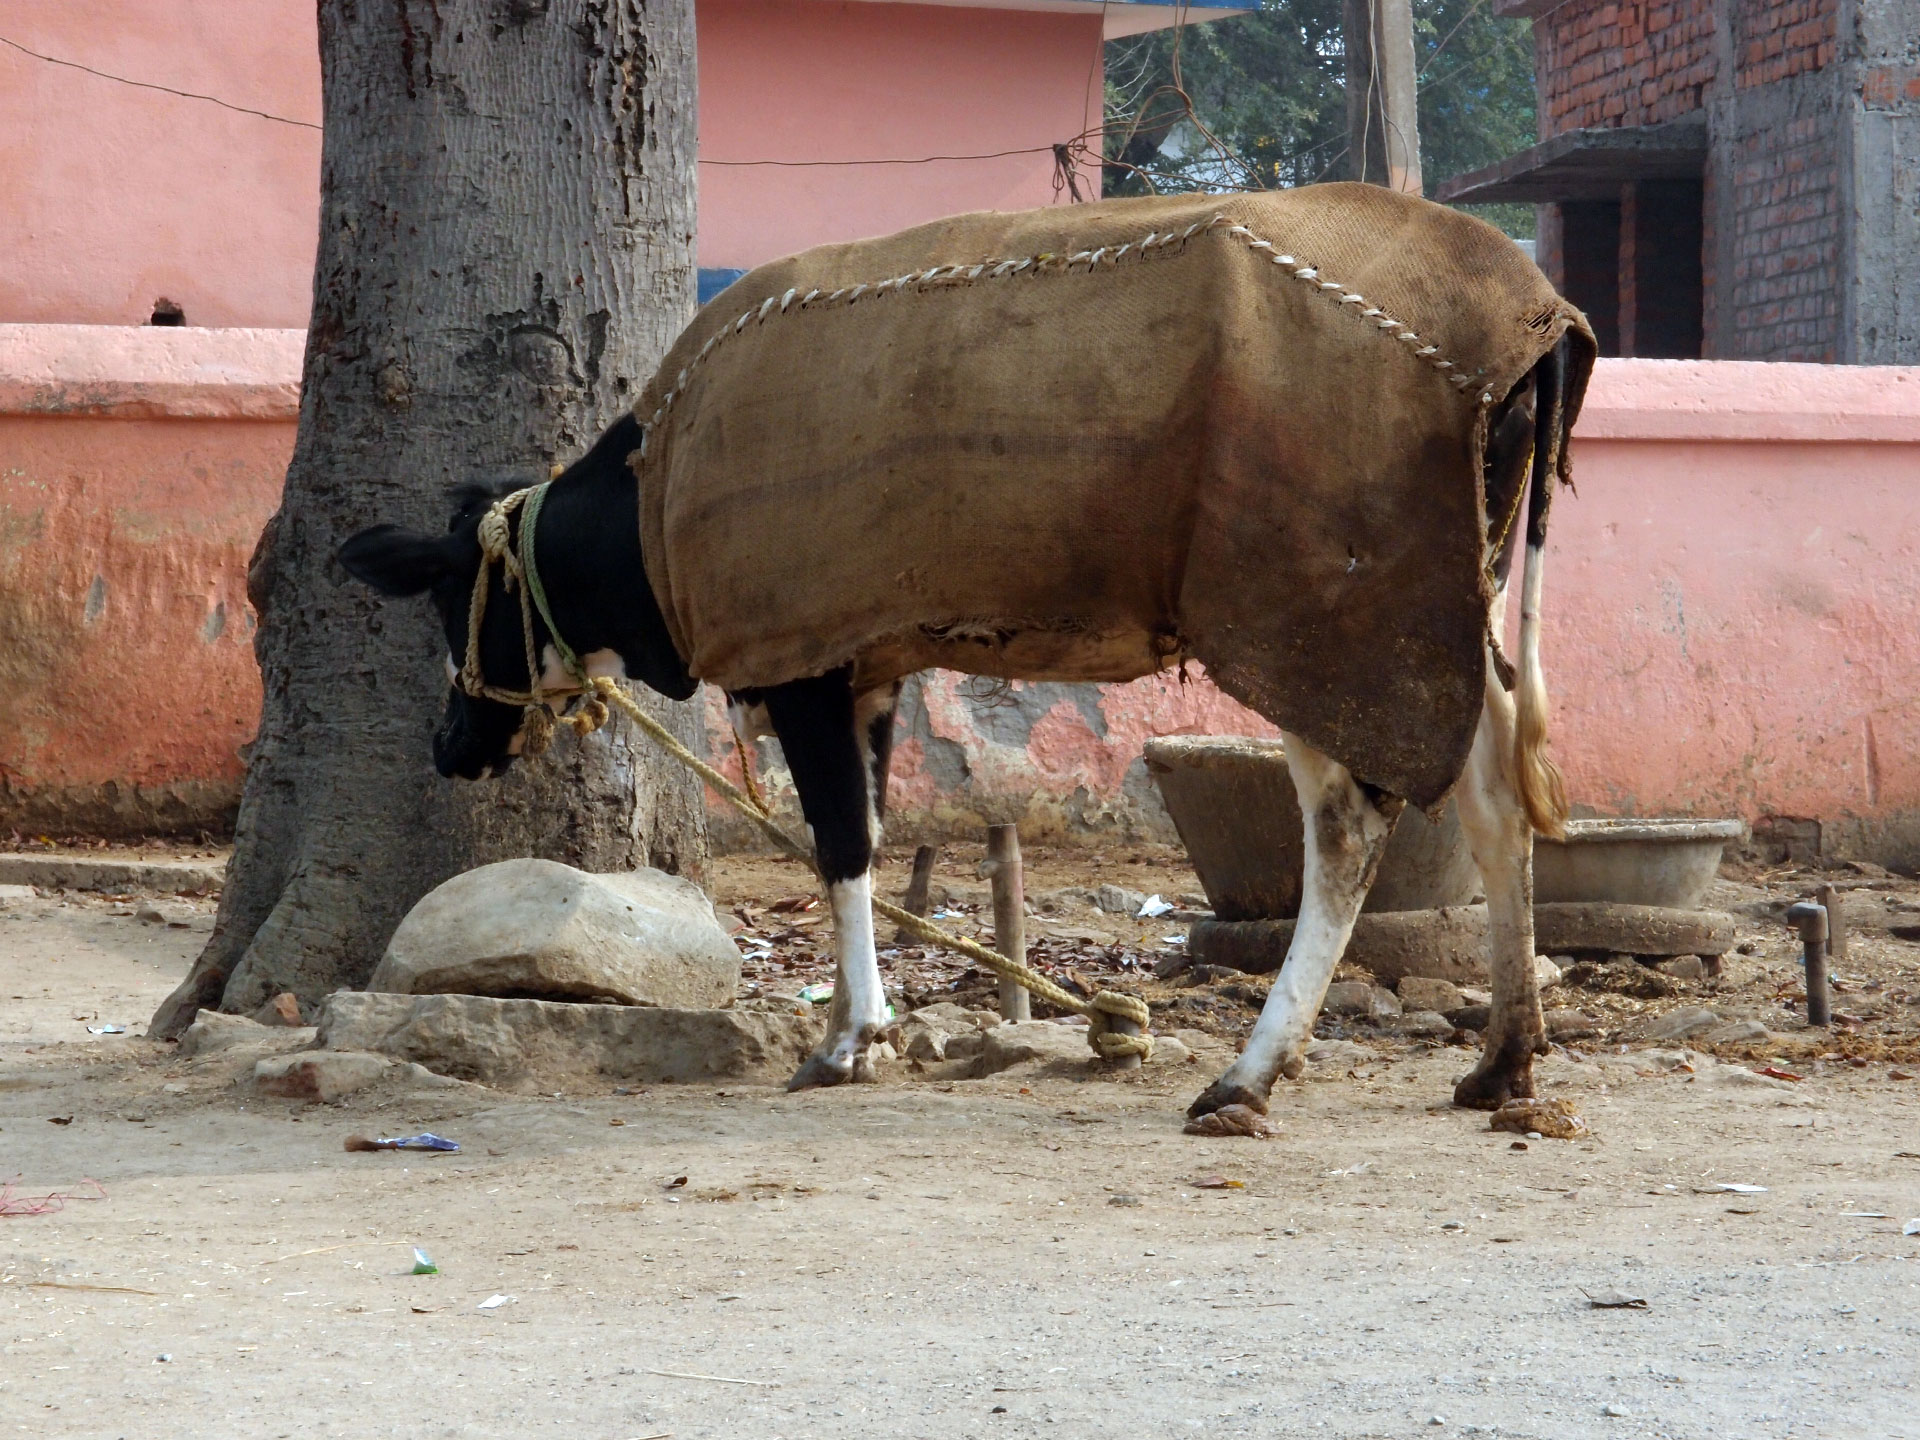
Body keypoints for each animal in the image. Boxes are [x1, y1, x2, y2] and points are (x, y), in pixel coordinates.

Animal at [337, 186, 1597, 1121]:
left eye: (451, 595)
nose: (449, 741)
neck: (651, 500)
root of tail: (1538, 316)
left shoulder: (802, 663)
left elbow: (841, 844)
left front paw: (851, 1037)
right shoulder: (869, 663)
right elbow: (870, 831)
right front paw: (863, 1026)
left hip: (1323, 630)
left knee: (1347, 829)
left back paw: (1250, 1075)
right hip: (1441, 612)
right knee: (1493, 790)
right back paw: (1503, 1059)